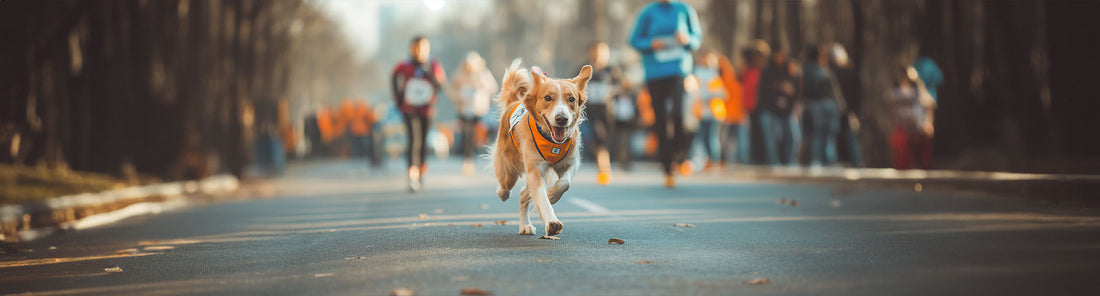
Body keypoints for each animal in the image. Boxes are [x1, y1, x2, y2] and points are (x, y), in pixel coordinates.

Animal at [492, 58, 594, 236]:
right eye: (547, 97)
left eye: (571, 99)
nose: (562, 119)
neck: (552, 142)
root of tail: (515, 101)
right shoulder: (535, 169)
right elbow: (541, 198)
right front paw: (552, 222)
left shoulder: (570, 163)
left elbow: (564, 183)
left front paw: (552, 195)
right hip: (509, 167)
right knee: (506, 184)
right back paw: (502, 193)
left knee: (523, 194)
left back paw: (525, 225)